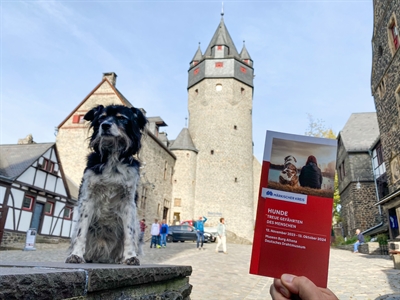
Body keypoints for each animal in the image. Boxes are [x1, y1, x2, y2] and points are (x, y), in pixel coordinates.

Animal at [65, 105, 147, 264]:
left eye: (121, 118)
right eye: (101, 118)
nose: (105, 125)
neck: (112, 156)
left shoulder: (128, 203)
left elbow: (129, 233)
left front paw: (130, 256)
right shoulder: (88, 199)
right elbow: (81, 232)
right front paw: (76, 255)